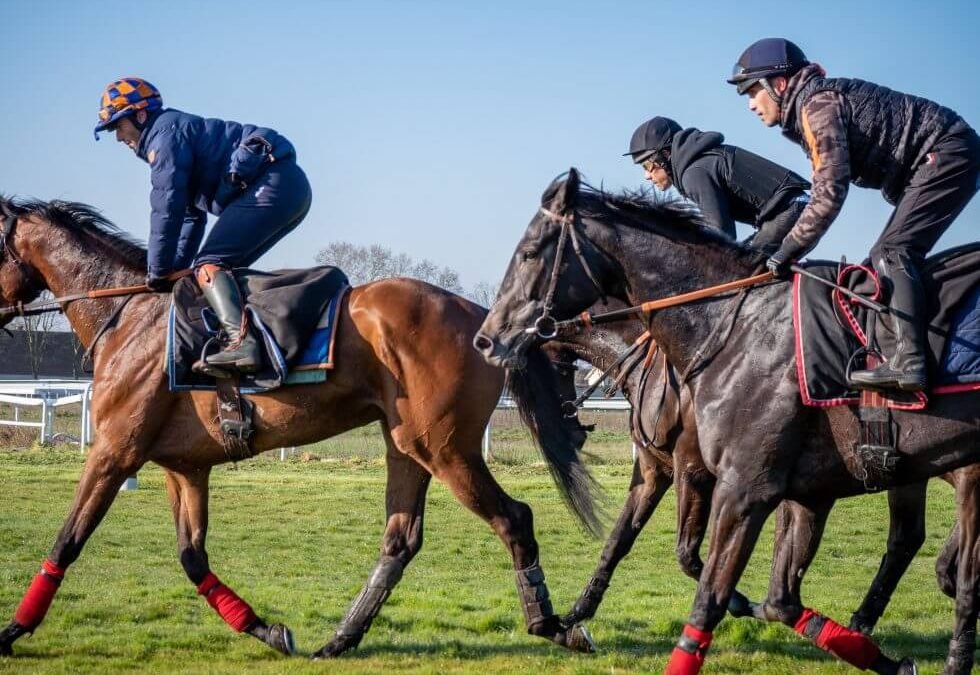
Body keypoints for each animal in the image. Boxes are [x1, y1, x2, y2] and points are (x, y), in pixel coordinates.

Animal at [0, 197, 596, 660]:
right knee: (400, 539)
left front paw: (12, 631)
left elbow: (68, 540)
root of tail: (483, 318)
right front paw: (266, 629)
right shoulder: (184, 467)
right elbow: (193, 557)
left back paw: (553, 625)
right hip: (408, 444)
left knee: (513, 517)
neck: (126, 316)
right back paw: (341, 638)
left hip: (446, 447)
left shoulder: (115, 451)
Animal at [474, 170, 980, 675]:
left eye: (528, 253)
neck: (722, 329)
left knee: (952, 572)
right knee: (913, 544)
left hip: (960, 473)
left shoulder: (726, 480)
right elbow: (624, 542)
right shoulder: (676, 472)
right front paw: (573, 620)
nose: (487, 339)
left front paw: (736, 601)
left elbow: (699, 575)